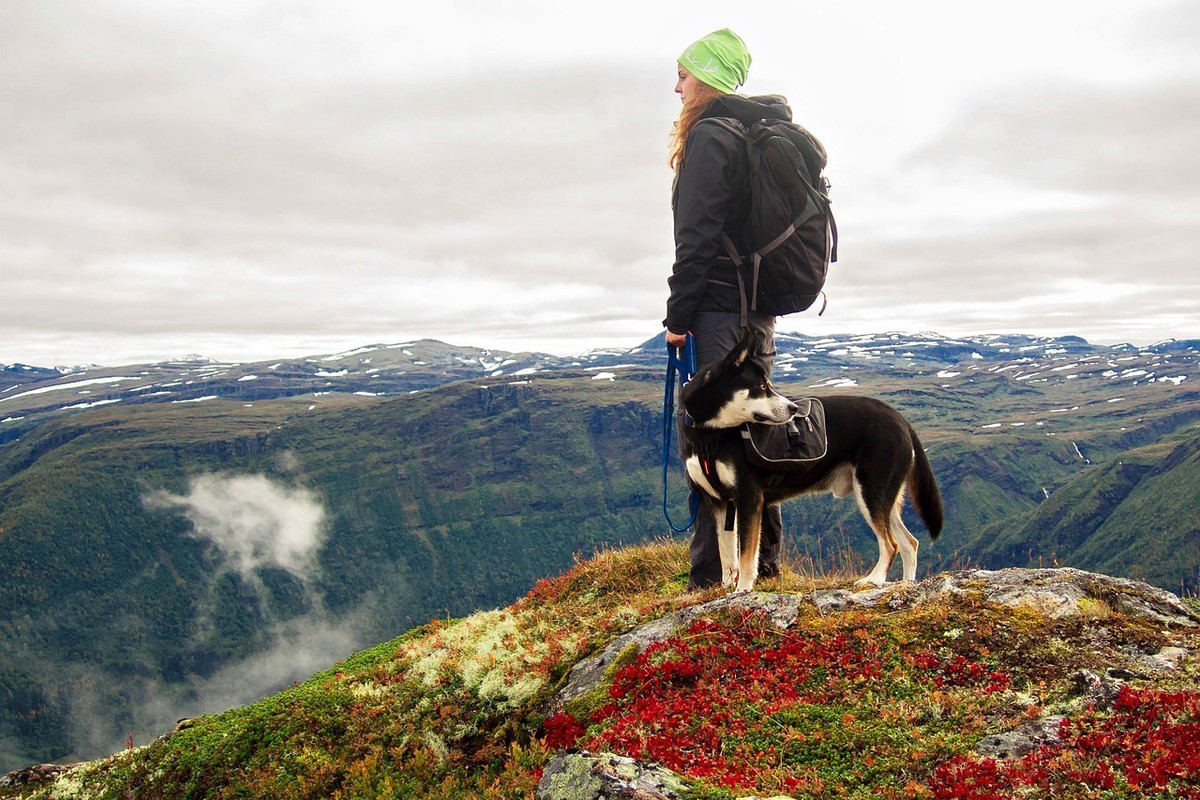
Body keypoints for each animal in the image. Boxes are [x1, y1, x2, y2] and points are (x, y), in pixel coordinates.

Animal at [681, 326, 940, 594]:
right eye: (761, 386)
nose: (793, 408)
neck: (710, 433)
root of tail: (902, 421)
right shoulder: (720, 503)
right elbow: (727, 557)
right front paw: (724, 590)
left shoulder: (749, 498)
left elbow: (746, 557)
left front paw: (743, 589)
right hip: (883, 497)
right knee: (910, 542)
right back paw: (907, 584)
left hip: (871, 492)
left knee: (891, 544)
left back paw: (874, 579)